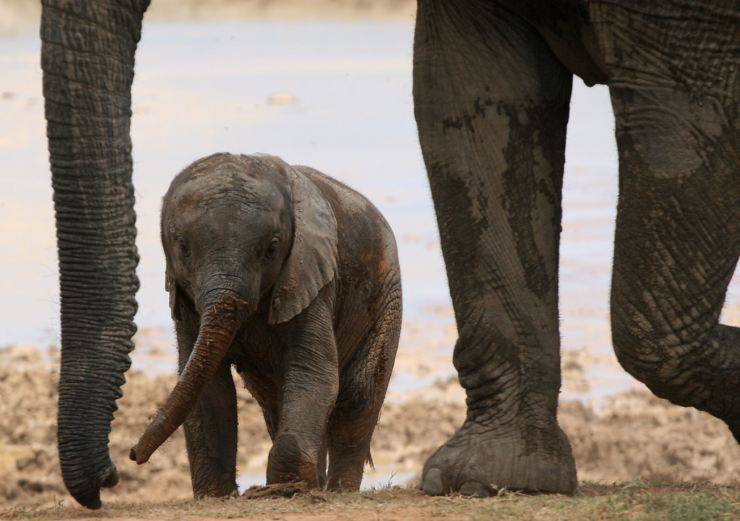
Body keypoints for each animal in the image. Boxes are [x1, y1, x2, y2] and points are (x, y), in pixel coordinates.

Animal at [130, 152, 402, 494]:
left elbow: (314, 373)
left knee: (357, 394)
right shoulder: (187, 303)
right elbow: (209, 388)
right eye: (183, 248)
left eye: (272, 248)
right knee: (275, 400)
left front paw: (287, 488)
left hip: (386, 296)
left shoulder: (310, 279)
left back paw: (337, 491)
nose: (133, 454)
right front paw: (216, 496)